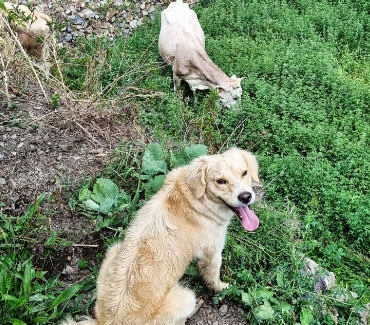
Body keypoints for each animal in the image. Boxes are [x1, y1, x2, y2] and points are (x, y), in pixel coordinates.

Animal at [63, 147, 260, 324]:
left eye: (244, 172)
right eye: (220, 181)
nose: (246, 196)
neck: (195, 197)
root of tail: (107, 321)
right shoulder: (212, 253)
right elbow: (213, 278)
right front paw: (225, 288)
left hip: (114, 249)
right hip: (187, 297)